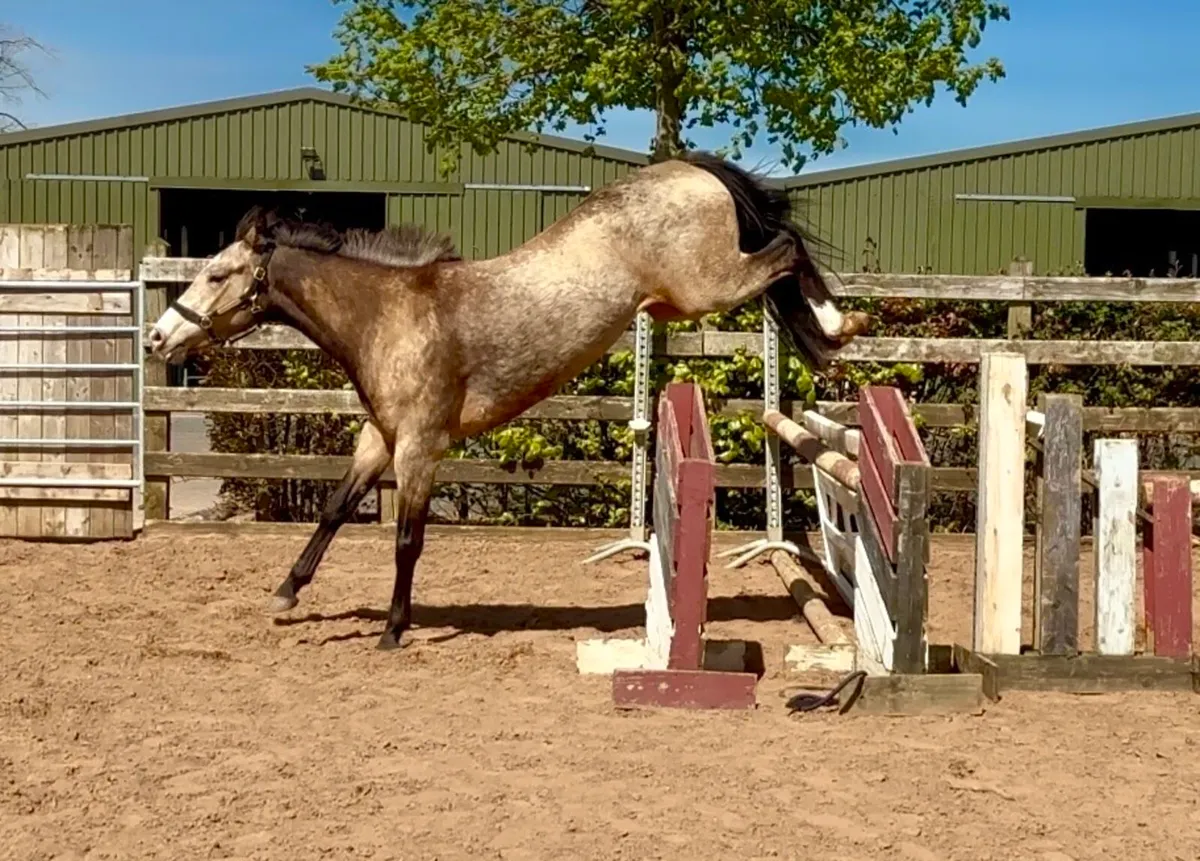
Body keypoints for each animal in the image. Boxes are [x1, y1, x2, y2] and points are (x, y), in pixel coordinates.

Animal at [147, 151, 870, 651]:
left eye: (216, 273)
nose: (158, 337)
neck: (389, 316)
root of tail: (689, 169)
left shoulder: (420, 448)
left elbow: (407, 538)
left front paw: (392, 629)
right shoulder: (380, 438)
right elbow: (332, 510)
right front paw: (286, 593)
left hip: (707, 286)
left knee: (785, 251)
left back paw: (842, 326)